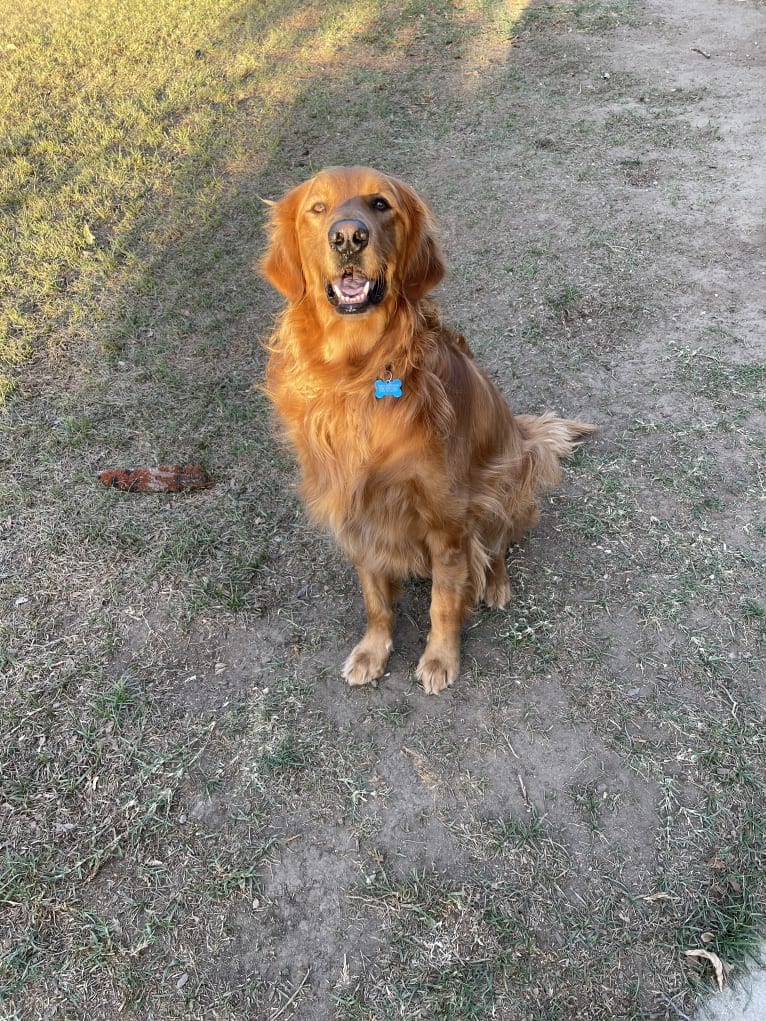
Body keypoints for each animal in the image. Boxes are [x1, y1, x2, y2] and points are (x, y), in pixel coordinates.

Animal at [261, 167, 596, 694]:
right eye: (318, 208)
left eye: (380, 204)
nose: (348, 237)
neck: (358, 374)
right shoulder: (358, 510)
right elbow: (376, 598)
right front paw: (373, 650)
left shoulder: (447, 520)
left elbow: (444, 601)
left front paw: (440, 659)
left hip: (507, 480)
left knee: (498, 545)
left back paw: (496, 583)